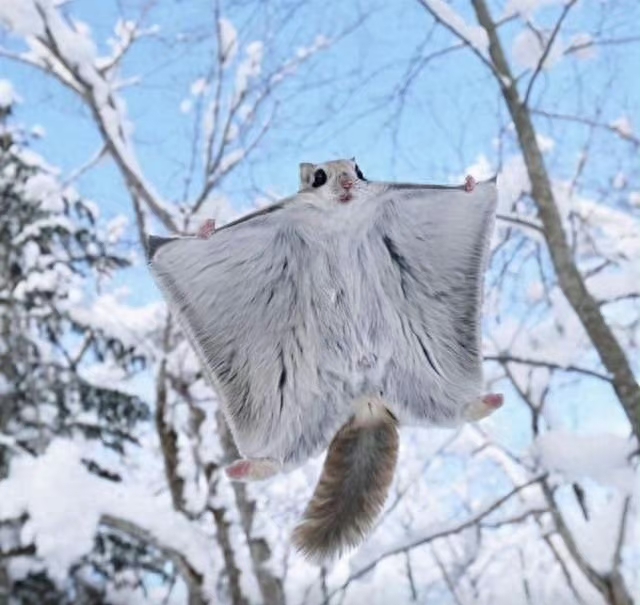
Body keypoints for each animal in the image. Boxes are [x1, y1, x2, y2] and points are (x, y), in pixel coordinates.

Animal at [148, 159, 502, 560]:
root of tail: (366, 403)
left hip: (427, 382)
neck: (338, 220)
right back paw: (247, 469)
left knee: (456, 412)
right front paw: (205, 231)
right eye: (319, 176)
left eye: (359, 170)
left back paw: (488, 401)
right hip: (292, 419)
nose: (347, 182)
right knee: (277, 462)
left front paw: (471, 185)